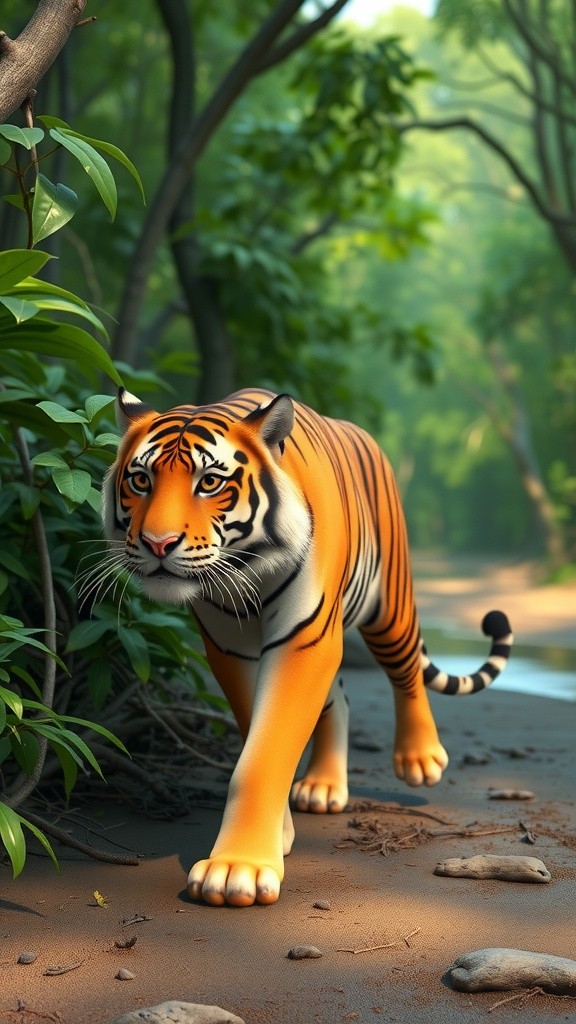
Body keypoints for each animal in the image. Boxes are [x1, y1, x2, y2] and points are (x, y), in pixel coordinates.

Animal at [102, 386, 513, 908]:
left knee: (405, 671)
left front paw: (238, 868)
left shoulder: (303, 635)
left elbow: (266, 752)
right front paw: (276, 834)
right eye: (140, 480)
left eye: (210, 482)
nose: (158, 544)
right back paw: (322, 786)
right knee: (339, 698)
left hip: (389, 605)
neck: (247, 566)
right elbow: (257, 734)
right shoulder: (231, 647)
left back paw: (419, 758)